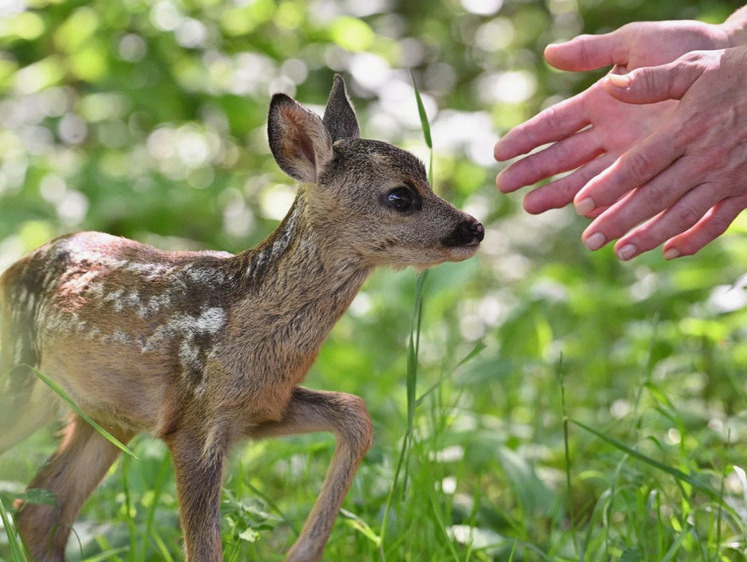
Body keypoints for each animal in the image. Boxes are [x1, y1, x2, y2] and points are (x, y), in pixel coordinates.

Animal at [1, 75, 486, 560]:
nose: (474, 228)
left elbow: (355, 411)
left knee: (40, 509)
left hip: (101, 414)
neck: (245, 320)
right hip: (21, 382)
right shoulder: (195, 423)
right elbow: (203, 547)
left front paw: (302, 552)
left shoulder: (259, 408)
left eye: (425, 177)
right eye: (400, 196)